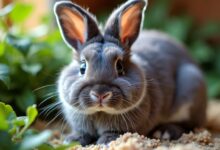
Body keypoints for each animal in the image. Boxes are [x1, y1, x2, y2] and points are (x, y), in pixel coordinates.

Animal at [54, 0, 207, 146]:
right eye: (82, 67)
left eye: (120, 66)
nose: (100, 94)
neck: (100, 112)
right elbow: (82, 132)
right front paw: (72, 140)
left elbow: (113, 132)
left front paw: (107, 141)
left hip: (190, 85)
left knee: (188, 124)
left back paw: (165, 132)